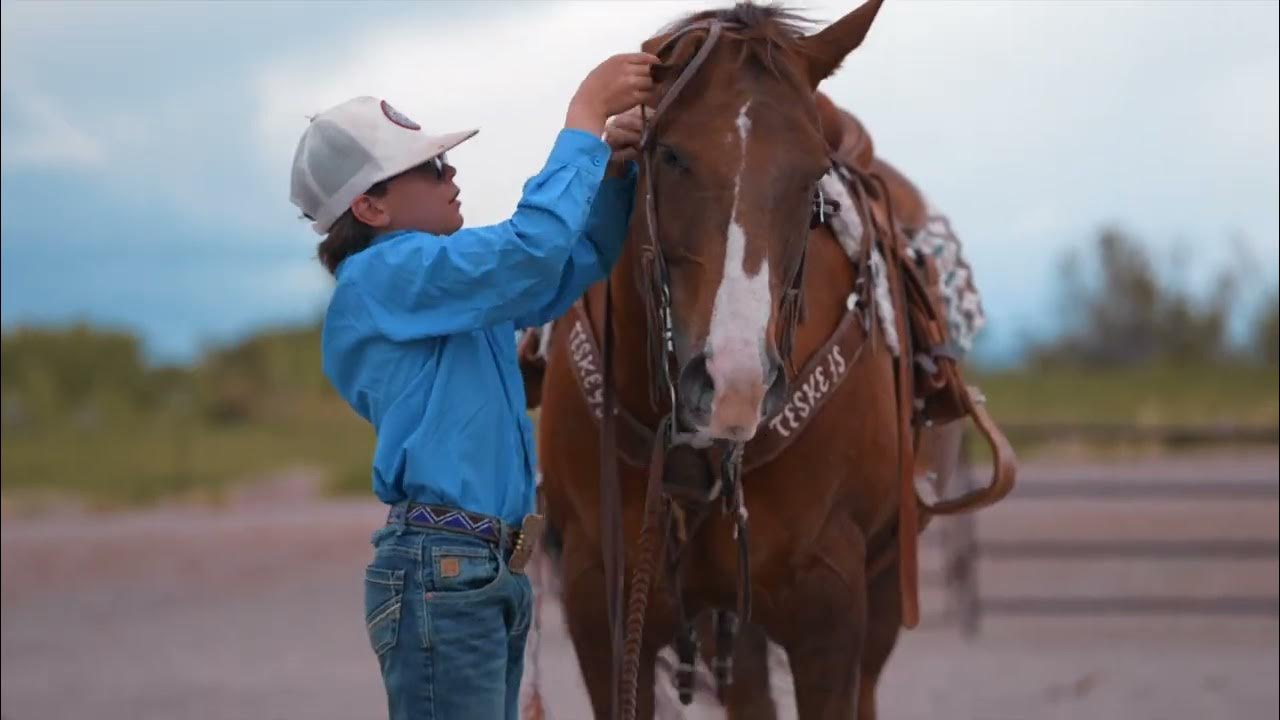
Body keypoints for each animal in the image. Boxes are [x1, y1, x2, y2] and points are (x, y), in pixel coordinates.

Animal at [523, 2, 1015, 718]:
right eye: (668, 153)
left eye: (813, 176)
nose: (733, 383)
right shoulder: (600, 607)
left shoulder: (830, 605)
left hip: (883, 585)